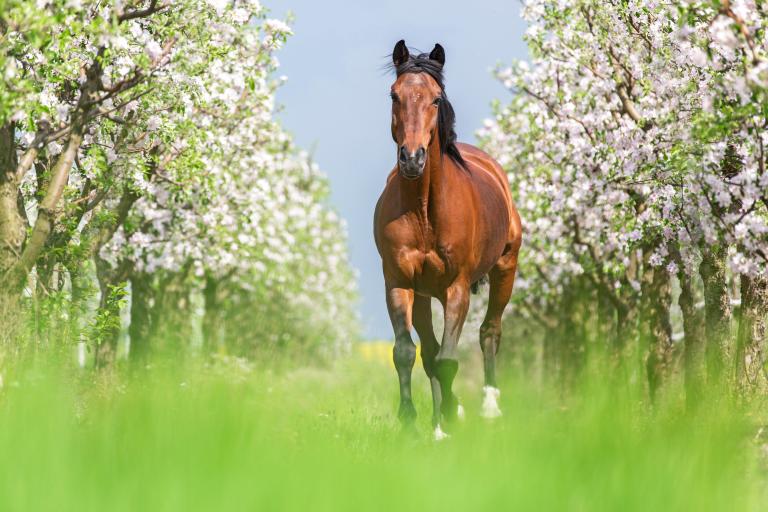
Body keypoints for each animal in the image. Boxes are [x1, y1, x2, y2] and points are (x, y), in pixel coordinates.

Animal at [372, 41, 520, 440]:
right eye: (394, 95)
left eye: (436, 99)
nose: (412, 158)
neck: (425, 211)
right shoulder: (399, 283)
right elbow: (407, 353)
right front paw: (413, 420)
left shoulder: (458, 288)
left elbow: (450, 359)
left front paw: (452, 419)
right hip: (425, 294)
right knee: (429, 351)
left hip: (505, 268)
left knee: (490, 332)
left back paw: (489, 408)